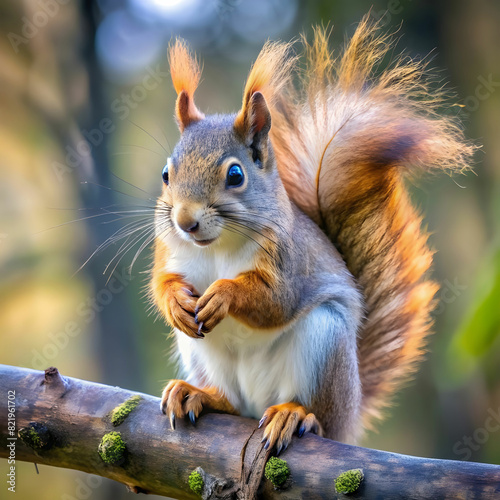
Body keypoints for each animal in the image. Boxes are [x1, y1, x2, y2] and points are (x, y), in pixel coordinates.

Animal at [149, 16, 472, 454]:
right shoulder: (169, 251)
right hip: (199, 353)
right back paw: (199, 393)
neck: (217, 246)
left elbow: (276, 301)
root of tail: (351, 412)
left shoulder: (290, 260)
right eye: (167, 175)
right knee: (230, 400)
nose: (185, 221)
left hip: (326, 339)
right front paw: (173, 300)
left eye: (235, 175)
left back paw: (295, 414)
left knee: (317, 413)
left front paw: (225, 294)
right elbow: (160, 281)